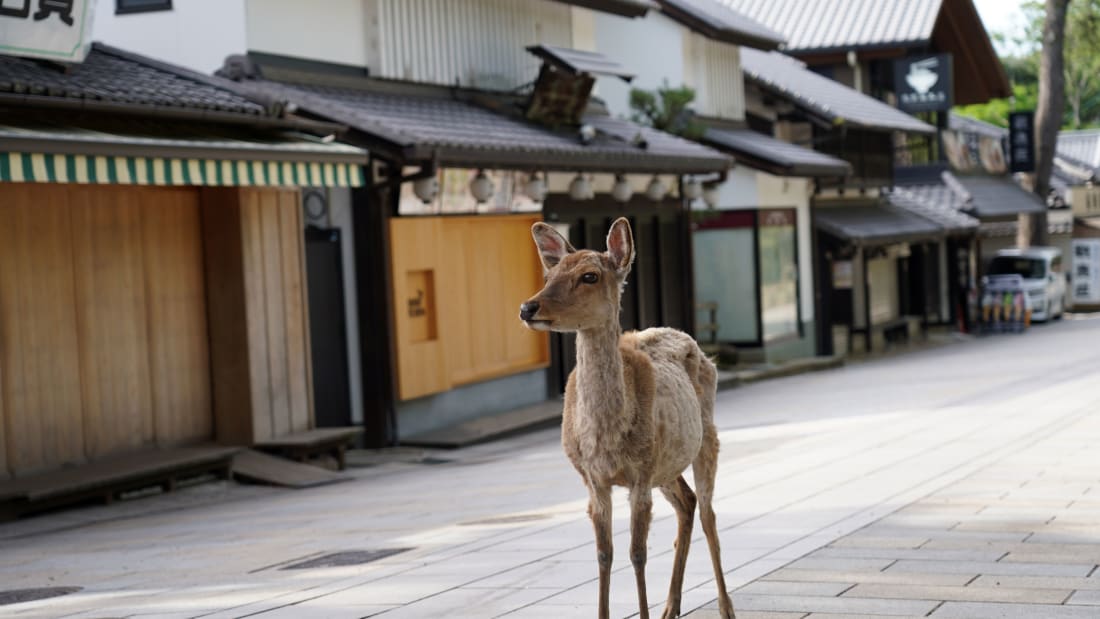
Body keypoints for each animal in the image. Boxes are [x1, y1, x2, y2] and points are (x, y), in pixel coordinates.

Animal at [519, 218, 734, 619]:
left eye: (589, 276)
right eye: (549, 273)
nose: (528, 307)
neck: (605, 438)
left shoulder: (640, 475)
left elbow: (637, 554)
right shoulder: (593, 480)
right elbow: (604, 554)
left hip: (705, 439)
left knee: (709, 512)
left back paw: (726, 607)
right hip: (666, 463)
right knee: (687, 502)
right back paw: (671, 607)